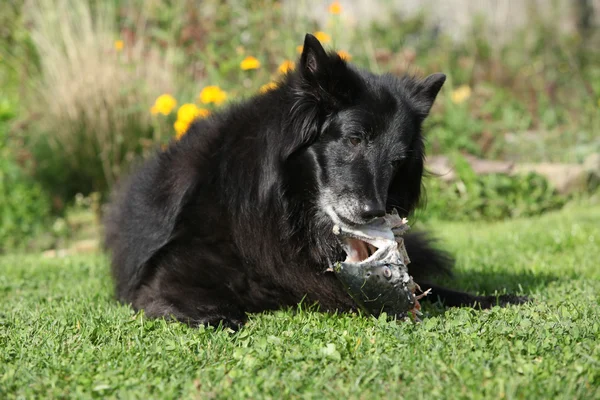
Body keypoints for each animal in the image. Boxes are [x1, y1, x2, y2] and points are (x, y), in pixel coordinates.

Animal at [104, 34, 524, 328]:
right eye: (354, 139)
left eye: (398, 160)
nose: (375, 212)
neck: (285, 212)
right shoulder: (167, 277)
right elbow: (196, 305)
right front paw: (217, 315)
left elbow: (442, 291)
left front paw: (499, 299)